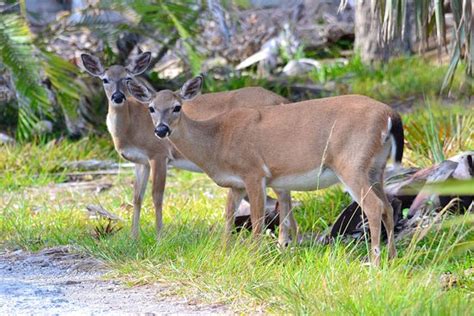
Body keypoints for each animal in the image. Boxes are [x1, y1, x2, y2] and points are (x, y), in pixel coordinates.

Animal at [79, 52, 290, 239]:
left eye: (127, 77)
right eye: (105, 79)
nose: (117, 96)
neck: (131, 126)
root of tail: (282, 99)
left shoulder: (159, 154)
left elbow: (157, 196)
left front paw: (159, 237)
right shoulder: (141, 161)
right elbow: (137, 197)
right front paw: (133, 238)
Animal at [128, 75, 406, 266]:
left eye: (177, 107)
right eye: (151, 108)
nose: (161, 130)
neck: (217, 140)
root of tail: (390, 113)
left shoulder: (254, 172)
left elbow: (257, 221)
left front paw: (253, 258)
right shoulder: (236, 183)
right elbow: (228, 217)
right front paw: (224, 254)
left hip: (351, 164)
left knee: (373, 206)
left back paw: (374, 263)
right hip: (376, 168)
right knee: (388, 206)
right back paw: (392, 258)